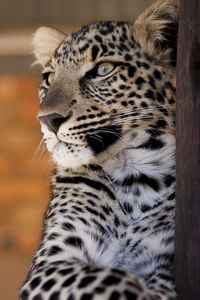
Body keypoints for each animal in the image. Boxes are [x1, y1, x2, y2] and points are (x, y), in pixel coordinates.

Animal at [18, 1, 178, 298]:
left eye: (103, 70)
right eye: (49, 78)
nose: (47, 119)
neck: (136, 179)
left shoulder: (165, 259)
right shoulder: (51, 262)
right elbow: (114, 279)